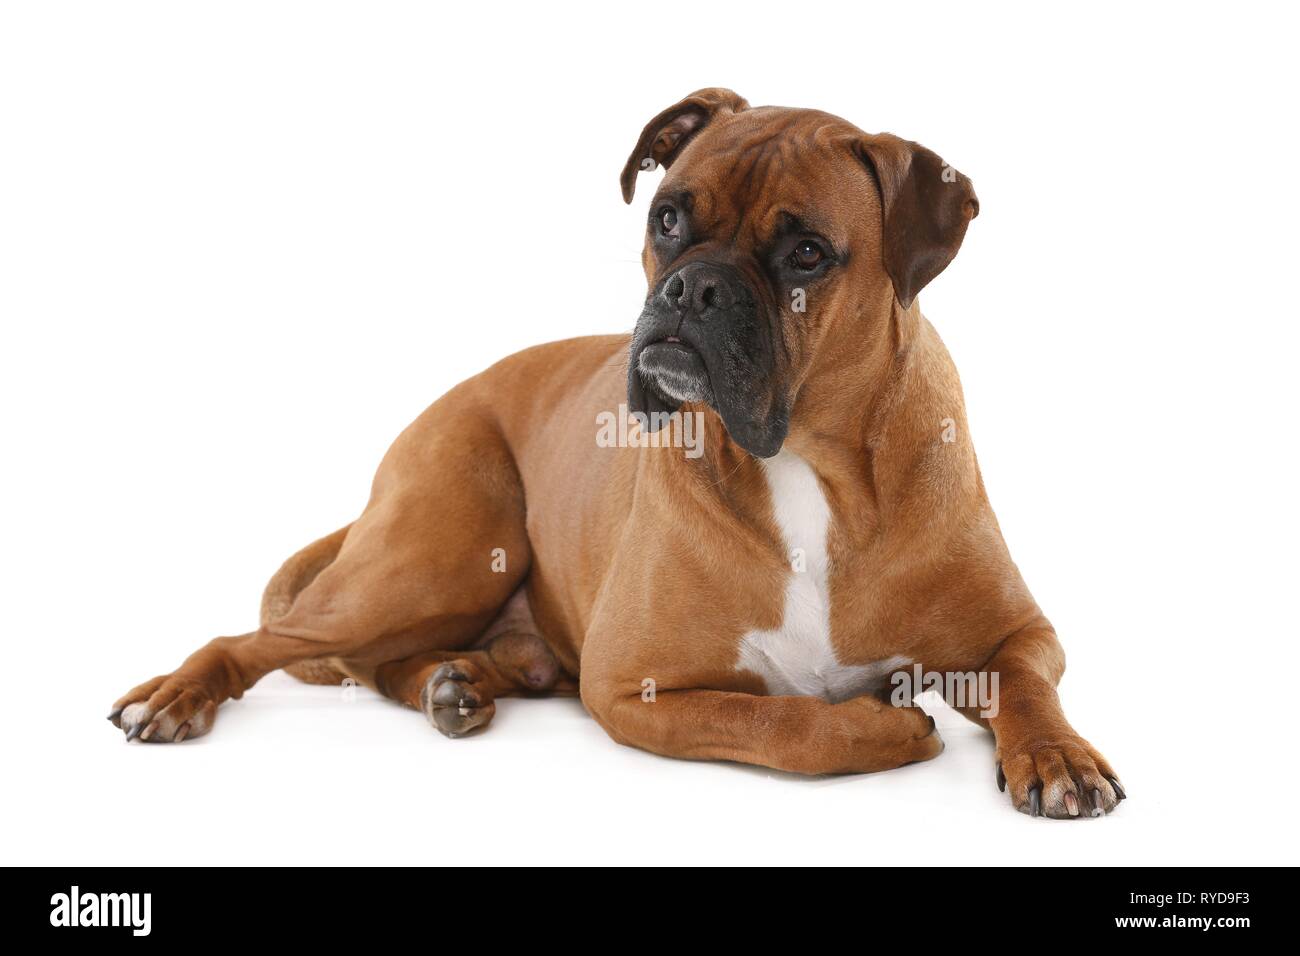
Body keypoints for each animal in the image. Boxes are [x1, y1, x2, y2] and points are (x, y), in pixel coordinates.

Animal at [114, 89, 1128, 816]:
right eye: (669, 218)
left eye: (807, 252)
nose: (694, 289)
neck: (807, 463)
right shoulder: (633, 689)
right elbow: (785, 726)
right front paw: (885, 730)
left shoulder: (1016, 634)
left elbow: (1028, 687)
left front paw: (1057, 755)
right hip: (438, 557)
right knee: (266, 642)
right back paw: (177, 696)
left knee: (394, 661)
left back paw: (456, 682)